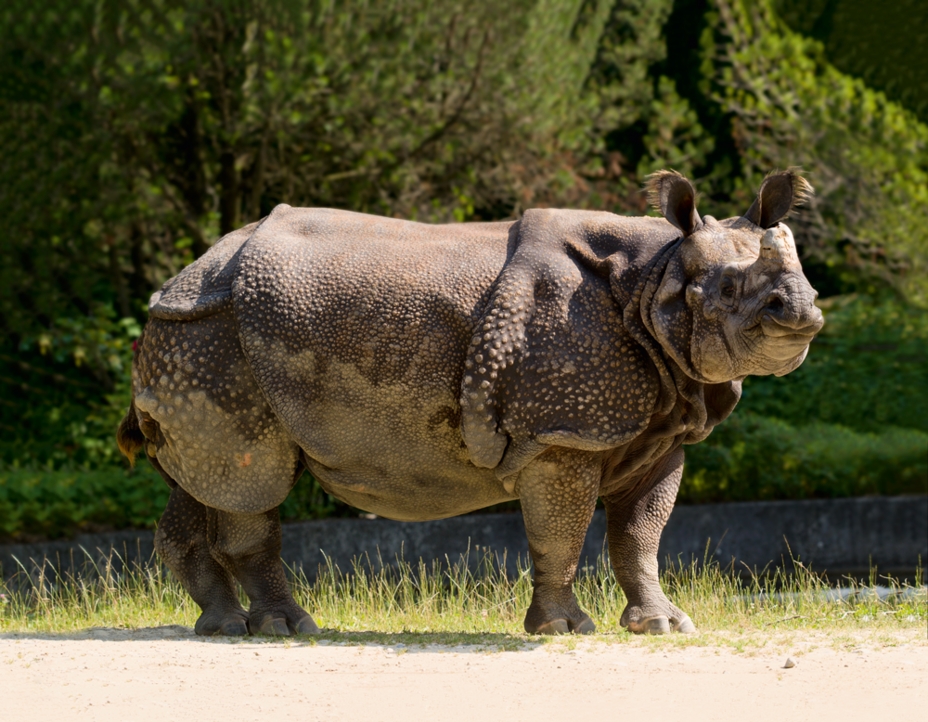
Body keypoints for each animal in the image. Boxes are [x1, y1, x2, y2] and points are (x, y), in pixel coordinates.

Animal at [117, 169, 823, 636]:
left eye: (804, 274)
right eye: (725, 290)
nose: (803, 310)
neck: (656, 277)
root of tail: (180, 279)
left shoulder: (662, 426)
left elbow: (640, 536)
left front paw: (666, 626)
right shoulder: (565, 430)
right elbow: (561, 531)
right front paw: (565, 630)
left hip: (198, 338)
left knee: (207, 481)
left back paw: (221, 626)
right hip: (214, 334)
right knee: (255, 482)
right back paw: (288, 630)